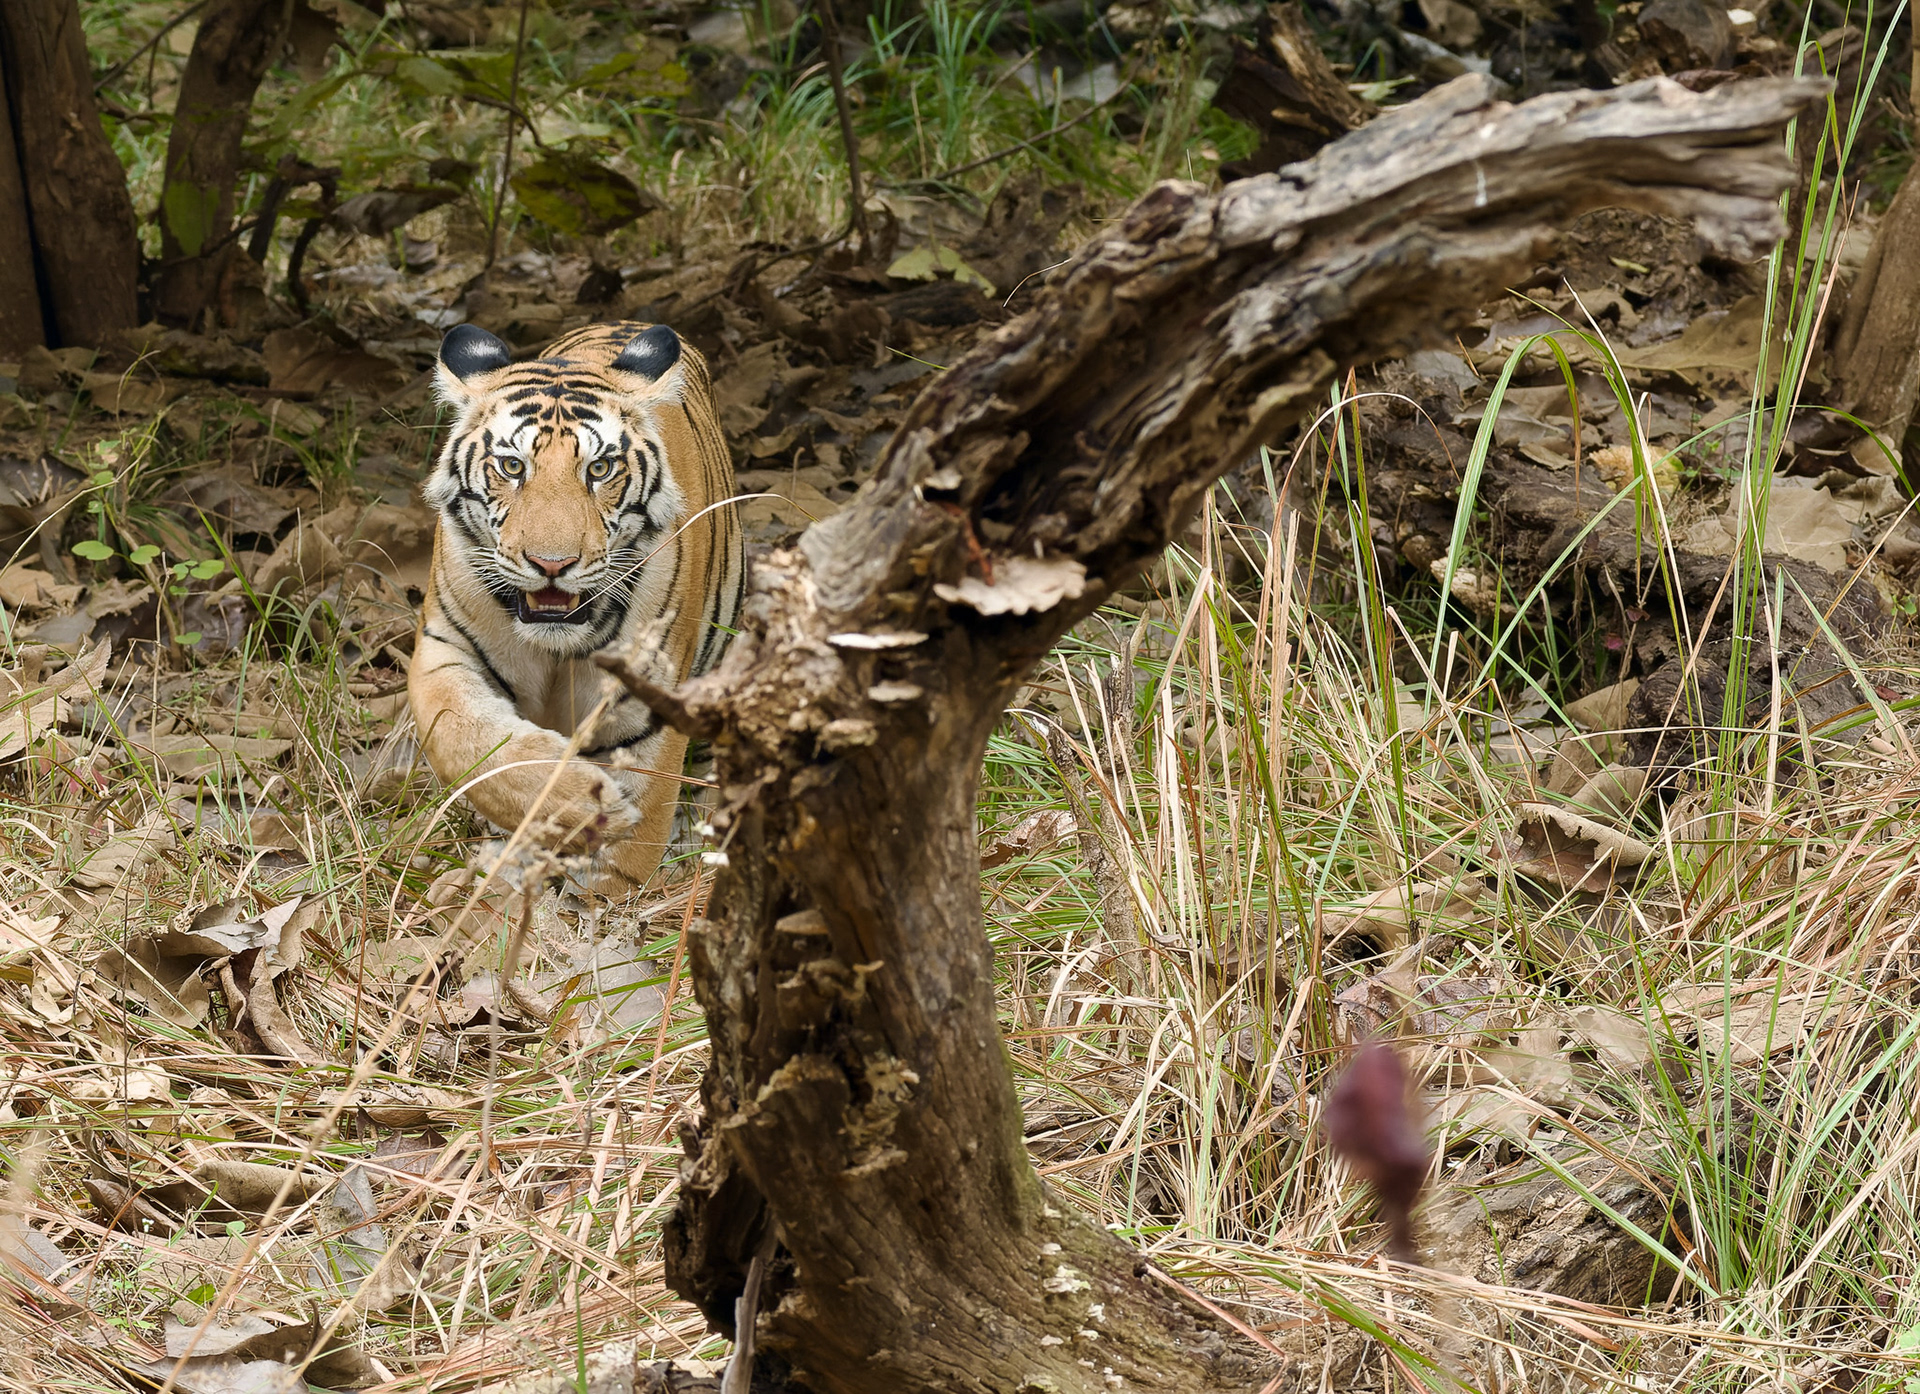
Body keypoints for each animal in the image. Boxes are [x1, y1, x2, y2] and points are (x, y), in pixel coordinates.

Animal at [408, 319, 743, 893]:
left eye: (601, 468)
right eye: (512, 466)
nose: (552, 563)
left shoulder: (647, 689)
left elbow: (637, 834)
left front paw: (606, 893)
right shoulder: (444, 648)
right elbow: (463, 741)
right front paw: (581, 807)